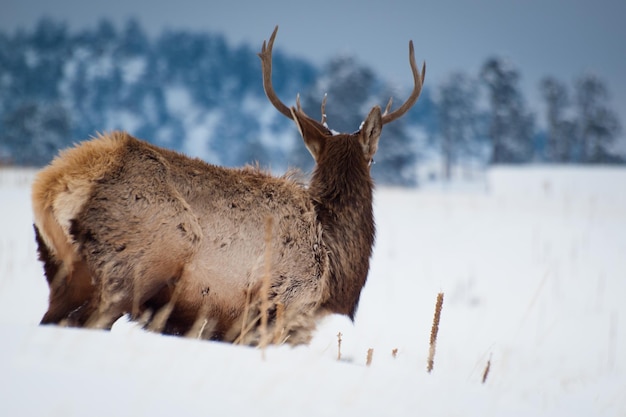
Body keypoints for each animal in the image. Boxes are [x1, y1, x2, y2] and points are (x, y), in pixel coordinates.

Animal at [33, 25, 424, 344]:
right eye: (372, 159)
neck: (331, 253)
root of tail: (55, 184)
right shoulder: (280, 304)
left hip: (61, 272)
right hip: (127, 270)